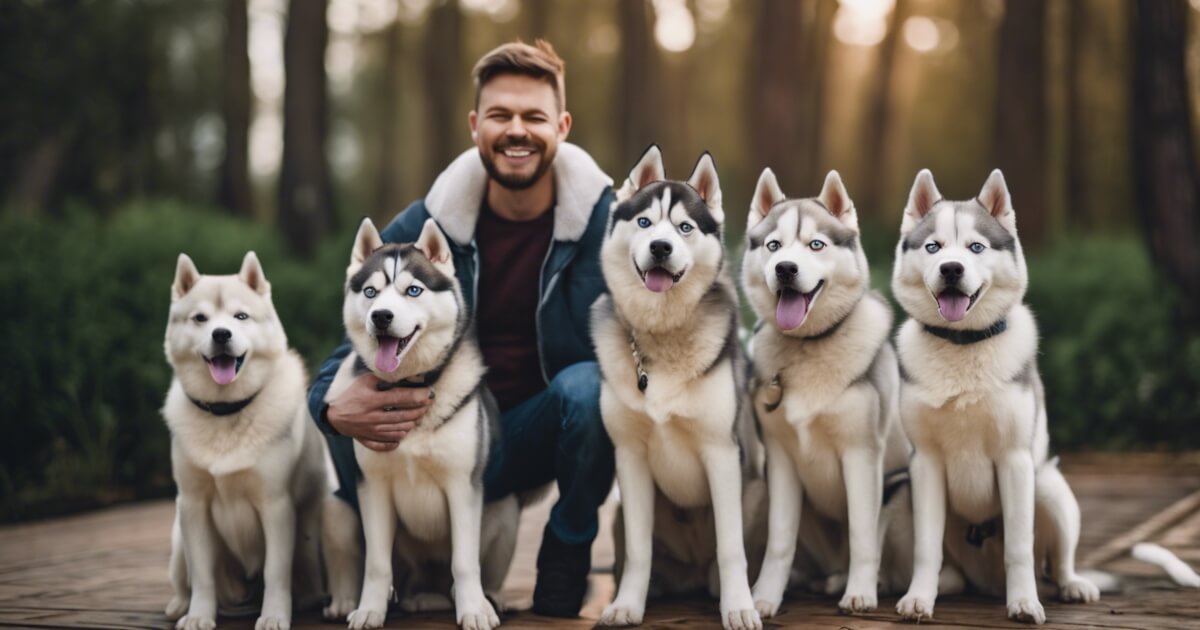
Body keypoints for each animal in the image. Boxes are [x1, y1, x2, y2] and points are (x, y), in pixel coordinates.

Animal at [162, 250, 328, 628]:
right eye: (200, 318)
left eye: (240, 316)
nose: (221, 334)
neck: (227, 412)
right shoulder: (192, 504)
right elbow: (203, 576)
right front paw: (199, 615)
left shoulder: (276, 505)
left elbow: (275, 572)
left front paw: (274, 615)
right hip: (178, 537)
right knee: (183, 579)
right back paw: (179, 605)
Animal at [326, 217, 518, 628]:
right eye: (371, 291)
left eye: (413, 290)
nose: (381, 316)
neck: (410, 384)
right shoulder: (373, 488)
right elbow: (377, 565)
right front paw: (370, 610)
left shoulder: (463, 485)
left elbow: (465, 562)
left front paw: (474, 610)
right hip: (339, 509)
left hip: (505, 508)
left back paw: (487, 599)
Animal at [592, 145, 768, 624]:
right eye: (645, 223)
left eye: (685, 227)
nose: (661, 246)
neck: (663, 334)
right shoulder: (630, 457)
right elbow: (639, 550)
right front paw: (627, 605)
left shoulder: (722, 453)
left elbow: (731, 548)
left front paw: (738, 608)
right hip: (617, 513)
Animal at [739, 168, 916, 614]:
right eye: (773, 245)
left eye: (816, 244)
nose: (785, 268)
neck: (808, 347)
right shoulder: (780, 460)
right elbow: (779, 540)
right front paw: (763, 597)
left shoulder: (862, 454)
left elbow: (862, 534)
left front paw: (861, 593)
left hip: (901, 488)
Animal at [888, 169, 1099, 619]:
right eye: (933, 247)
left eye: (975, 247)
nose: (951, 268)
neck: (962, 345)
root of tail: (984, 583)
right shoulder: (924, 464)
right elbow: (926, 548)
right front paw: (919, 597)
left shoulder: (1016, 460)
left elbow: (1019, 547)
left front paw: (1023, 603)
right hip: (903, 497)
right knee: (947, 567)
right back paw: (945, 584)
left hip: (1049, 485)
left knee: (1057, 563)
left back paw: (1071, 585)